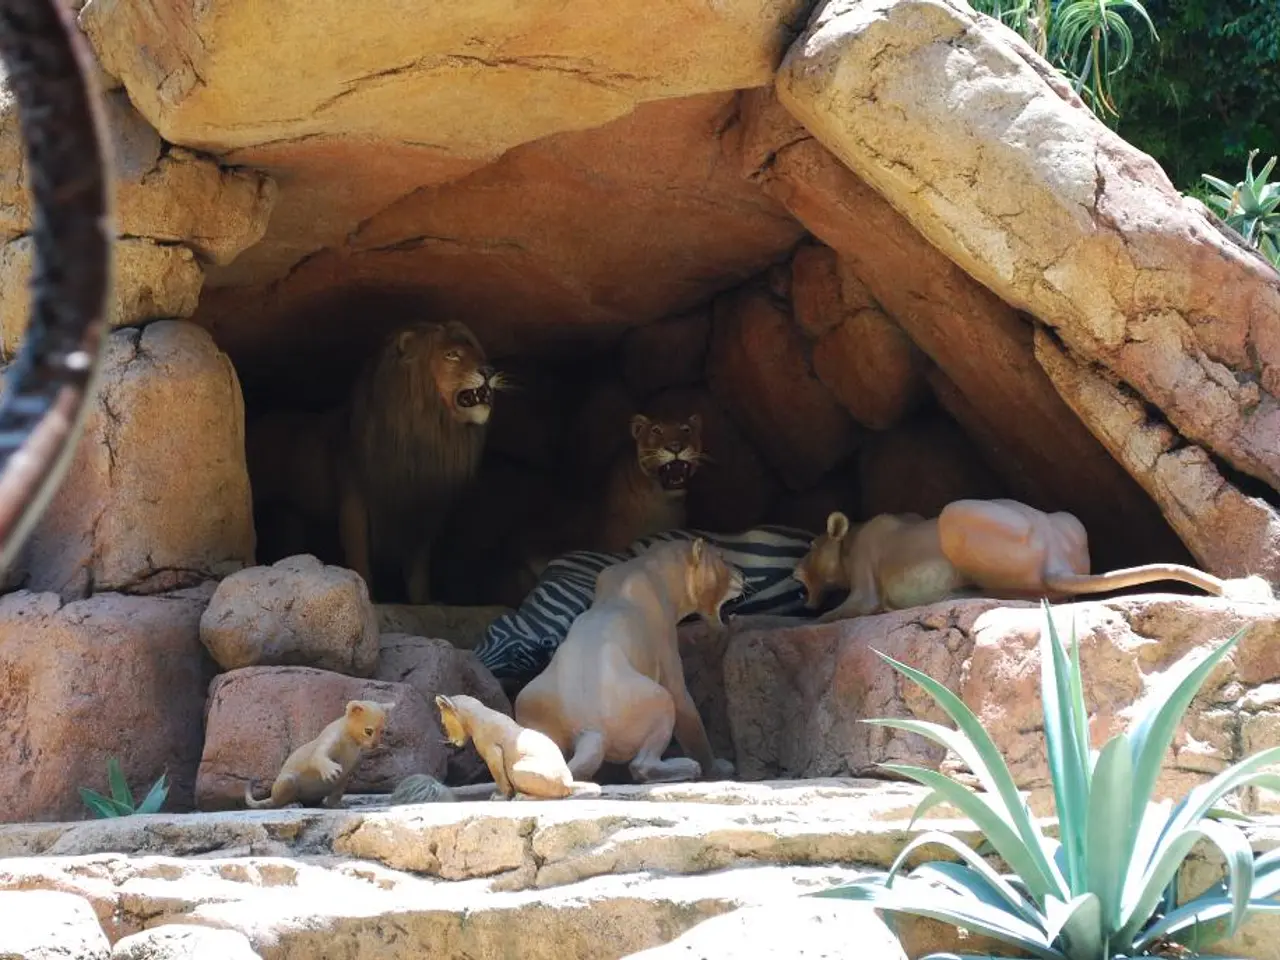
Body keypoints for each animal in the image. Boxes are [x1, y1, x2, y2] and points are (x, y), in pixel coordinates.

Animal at [338, 320, 501, 604]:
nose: (489, 370)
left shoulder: (423, 508)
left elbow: (418, 567)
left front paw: (423, 602)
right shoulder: (354, 502)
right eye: (452, 355)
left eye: (478, 354)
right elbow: (359, 558)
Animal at [513, 538, 741, 784]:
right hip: (657, 699)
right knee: (642, 764)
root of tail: (588, 730)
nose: (742, 574)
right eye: (721, 557)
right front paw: (718, 768)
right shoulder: (668, 654)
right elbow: (690, 716)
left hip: (528, 702)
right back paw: (688, 767)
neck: (650, 567)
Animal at [795, 497, 1275, 623]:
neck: (852, 538)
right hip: (1070, 522)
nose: (795, 571)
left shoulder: (863, 587)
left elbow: (837, 613)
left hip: (955, 515)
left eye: (809, 547)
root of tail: (1053, 558)